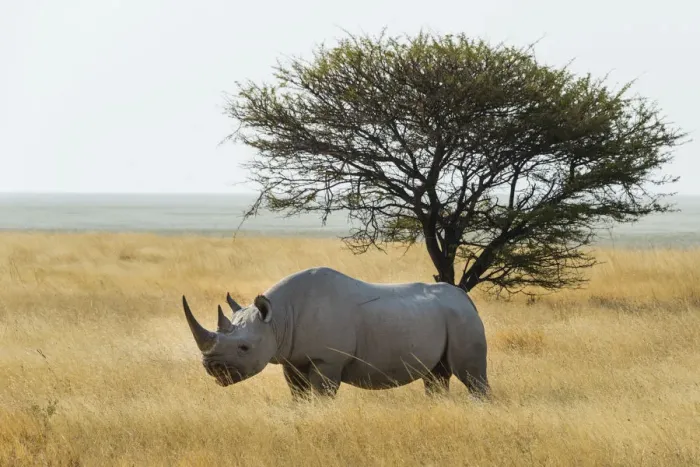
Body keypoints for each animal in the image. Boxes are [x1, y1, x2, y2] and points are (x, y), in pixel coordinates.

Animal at [182, 267, 489, 399]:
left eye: (244, 348)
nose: (212, 368)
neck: (279, 319)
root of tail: (466, 299)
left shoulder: (327, 359)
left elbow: (322, 394)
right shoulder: (292, 358)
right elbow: (298, 393)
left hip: (462, 320)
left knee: (470, 376)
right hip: (444, 317)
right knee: (436, 376)